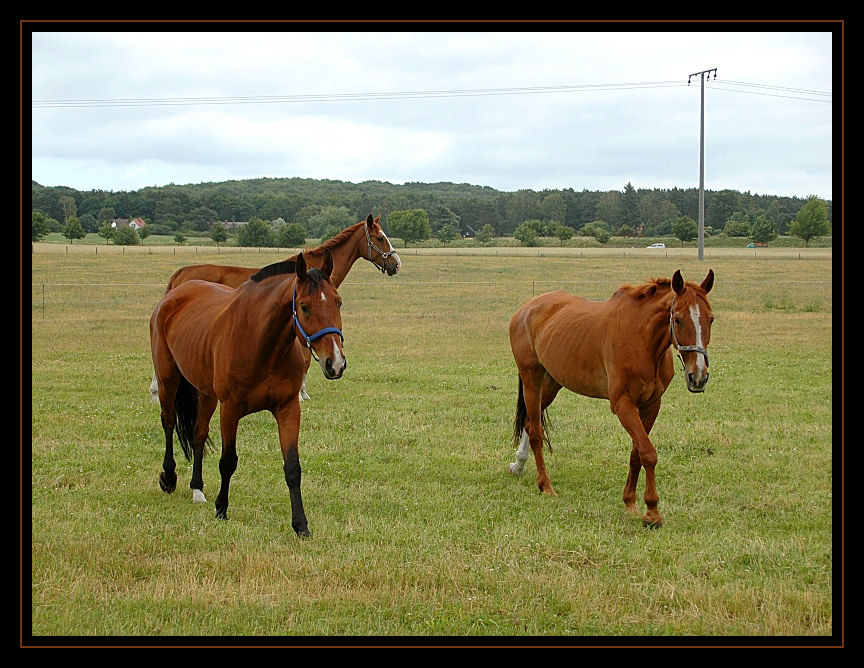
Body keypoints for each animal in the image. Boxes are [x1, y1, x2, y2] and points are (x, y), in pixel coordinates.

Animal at [150, 250, 346, 536]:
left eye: (338, 303)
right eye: (305, 306)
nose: (335, 363)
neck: (262, 344)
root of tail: (174, 293)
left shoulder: (288, 408)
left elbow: (292, 467)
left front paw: (301, 525)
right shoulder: (230, 410)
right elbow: (228, 461)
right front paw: (222, 509)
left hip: (206, 394)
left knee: (198, 434)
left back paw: (197, 489)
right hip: (168, 379)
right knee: (168, 422)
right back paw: (169, 477)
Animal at [506, 268, 716, 528]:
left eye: (710, 319)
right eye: (677, 319)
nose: (698, 376)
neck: (642, 340)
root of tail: (526, 308)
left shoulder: (650, 405)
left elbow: (637, 454)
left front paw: (631, 502)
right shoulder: (623, 405)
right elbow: (648, 453)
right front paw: (652, 512)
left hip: (553, 382)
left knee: (528, 423)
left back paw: (518, 465)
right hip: (531, 378)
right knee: (536, 431)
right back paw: (545, 485)